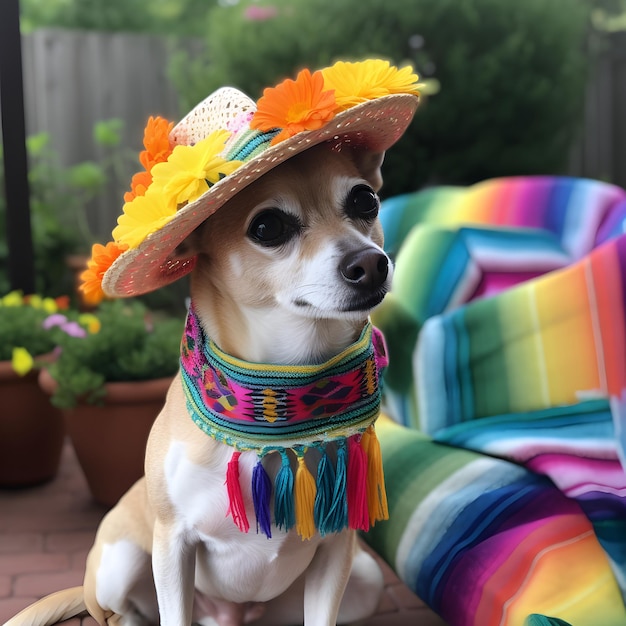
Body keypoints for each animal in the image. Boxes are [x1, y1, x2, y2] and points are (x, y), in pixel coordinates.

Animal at [4, 141, 392, 624]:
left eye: (365, 200)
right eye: (268, 226)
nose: (371, 264)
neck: (277, 410)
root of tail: (230, 616)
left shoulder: (338, 545)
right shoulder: (172, 544)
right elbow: (173, 612)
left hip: (362, 581)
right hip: (121, 563)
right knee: (120, 613)